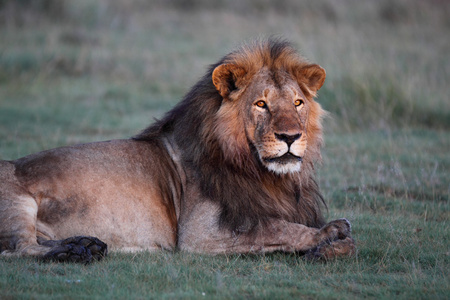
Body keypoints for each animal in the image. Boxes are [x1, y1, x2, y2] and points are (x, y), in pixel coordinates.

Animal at [1, 39, 356, 262]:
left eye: (297, 103)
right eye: (261, 104)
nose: (290, 136)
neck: (265, 174)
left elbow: (345, 238)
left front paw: (330, 243)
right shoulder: (200, 233)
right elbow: (279, 228)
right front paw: (327, 235)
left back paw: (84, 244)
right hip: (16, 202)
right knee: (17, 249)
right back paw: (72, 253)